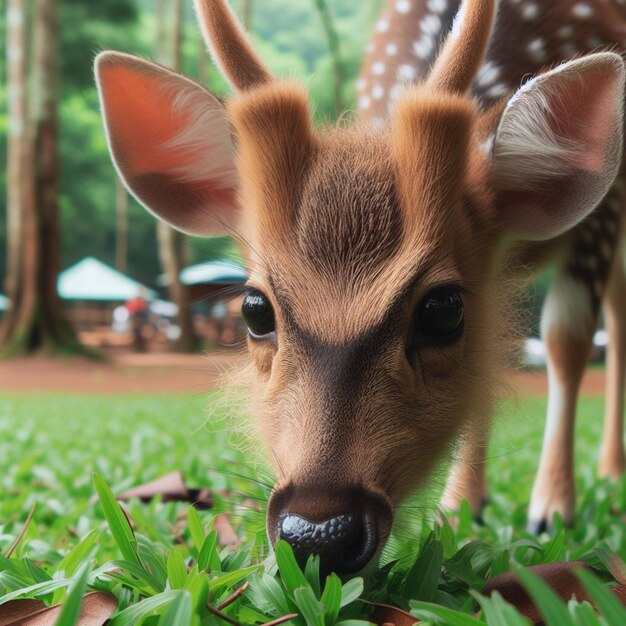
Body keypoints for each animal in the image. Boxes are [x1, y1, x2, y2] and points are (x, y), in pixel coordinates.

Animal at [94, 0, 624, 572]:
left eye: (444, 310)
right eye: (254, 308)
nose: (318, 531)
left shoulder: (603, 218)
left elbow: (566, 340)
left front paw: (551, 509)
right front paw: (459, 508)